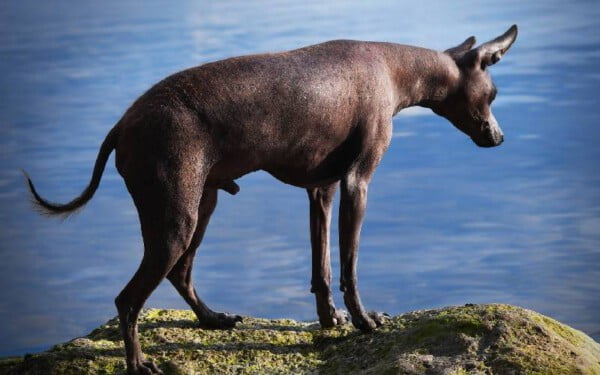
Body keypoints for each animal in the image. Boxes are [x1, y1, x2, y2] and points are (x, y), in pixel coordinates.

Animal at [25, 25, 516, 374]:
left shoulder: (322, 191)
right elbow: (349, 266)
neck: (393, 70)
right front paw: (363, 321)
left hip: (201, 207)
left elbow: (321, 269)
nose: (499, 137)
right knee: (128, 300)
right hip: (175, 220)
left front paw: (330, 321)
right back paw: (138, 363)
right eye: (492, 94)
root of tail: (122, 123)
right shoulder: (357, 185)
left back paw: (211, 319)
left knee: (180, 274)